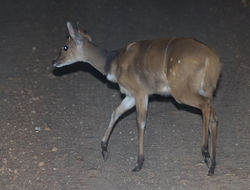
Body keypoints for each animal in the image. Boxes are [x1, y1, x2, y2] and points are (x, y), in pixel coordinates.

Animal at [53, 21, 221, 175]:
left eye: (65, 47)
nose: (54, 62)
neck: (113, 63)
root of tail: (212, 59)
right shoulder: (130, 96)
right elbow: (116, 113)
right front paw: (104, 148)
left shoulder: (141, 92)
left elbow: (140, 123)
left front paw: (138, 163)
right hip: (207, 90)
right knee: (214, 116)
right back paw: (212, 165)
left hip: (181, 91)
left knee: (205, 106)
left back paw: (205, 152)